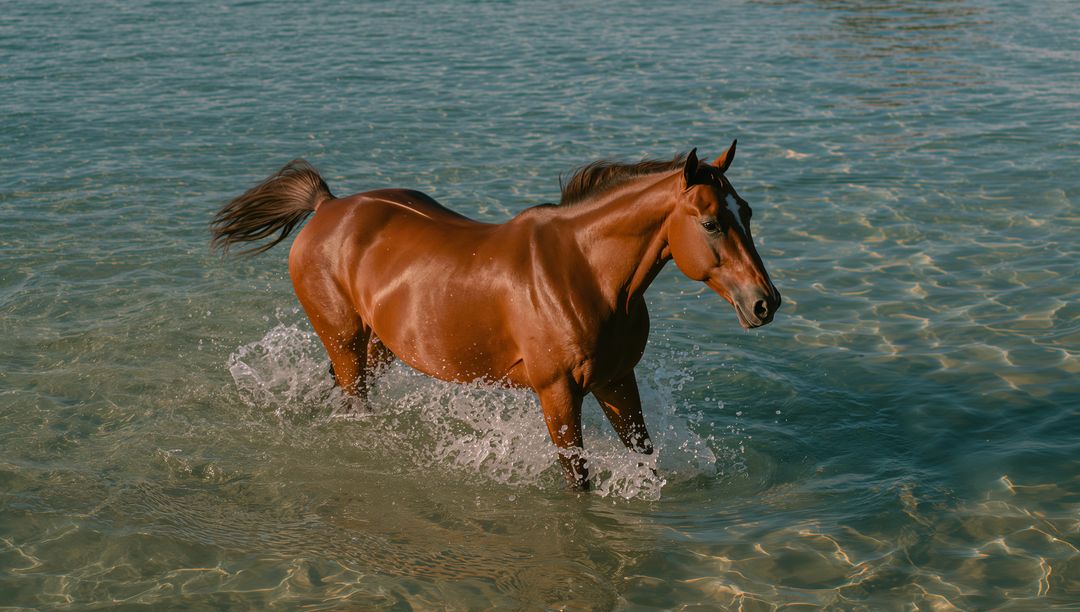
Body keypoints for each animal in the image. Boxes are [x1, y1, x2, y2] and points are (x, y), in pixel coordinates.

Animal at [211, 142, 780, 490]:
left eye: (748, 213)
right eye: (710, 222)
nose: (765, 303)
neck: (585, 272)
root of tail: (326, 206)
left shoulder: (617, 380)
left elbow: (646, 457)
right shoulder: (557, 393)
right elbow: (578, 480)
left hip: (380, 345)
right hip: (345, 340)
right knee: (353, 398)